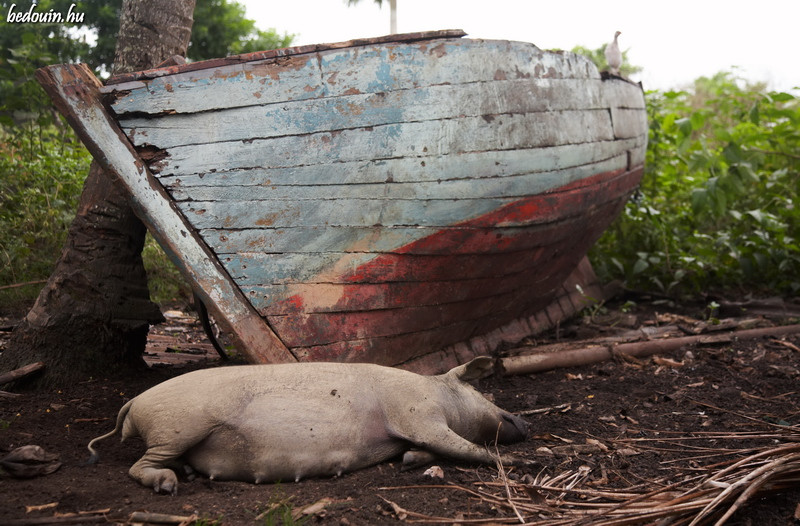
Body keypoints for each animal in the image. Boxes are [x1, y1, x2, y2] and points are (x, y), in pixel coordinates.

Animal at [87, 358, 528, 496]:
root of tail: (134, 402)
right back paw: (169, 485)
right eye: (479, 387)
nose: (525, 423)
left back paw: (188, 475)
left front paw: (408, 461)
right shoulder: (416, 413)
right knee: (140, 466)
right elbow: (463, 446)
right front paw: (517, 466)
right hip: (177, 425)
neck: (438, 391)